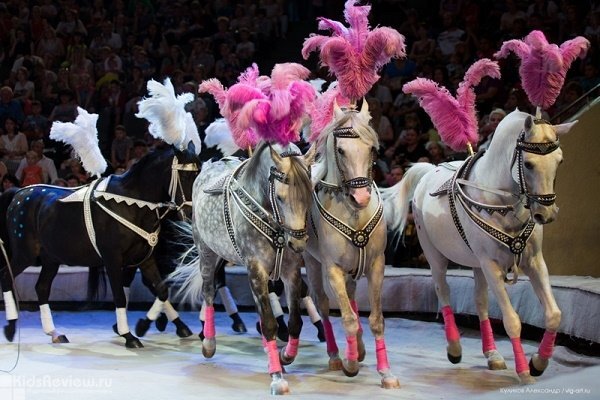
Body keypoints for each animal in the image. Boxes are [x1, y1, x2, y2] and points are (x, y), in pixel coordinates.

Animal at [0, 143, 202, 346]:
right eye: (185, 176)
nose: (192, 213)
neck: (131, 204)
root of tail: (19, 193)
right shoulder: (113, 259)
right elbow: (120, 296)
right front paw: (128, 335)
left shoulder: (145, 259)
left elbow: (162, 290)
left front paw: (143, 325)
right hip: (25, 254)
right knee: (7, 277)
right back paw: (10, 327)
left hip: (51, 258)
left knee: (41, 288)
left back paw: (54, 333)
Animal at [302, 101, 400, 390]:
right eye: (341, 150)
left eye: (371, 149)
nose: (361, 197)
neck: (354, 214)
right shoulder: (333, 269)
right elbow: (346, 318)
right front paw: (350, 363)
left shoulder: (377, 265)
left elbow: (376, 320)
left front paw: (386, 373)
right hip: (312, 262)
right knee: (324, 304)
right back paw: (337, 356)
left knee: (353, 297)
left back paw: (358, 348)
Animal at [382, 110, 580, 384]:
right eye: (528, 164)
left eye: (559, 161)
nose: (546, 213)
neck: (500, 200)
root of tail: (430, 170)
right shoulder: (491, 265)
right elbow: (512, 320)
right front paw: (524, 371)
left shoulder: (534, 261)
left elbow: (554, 314)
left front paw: (538, 363)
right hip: (436, 257)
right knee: (443, 291)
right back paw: (455, 347)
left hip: (476, 264)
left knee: (480, 301)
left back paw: (493, 354)